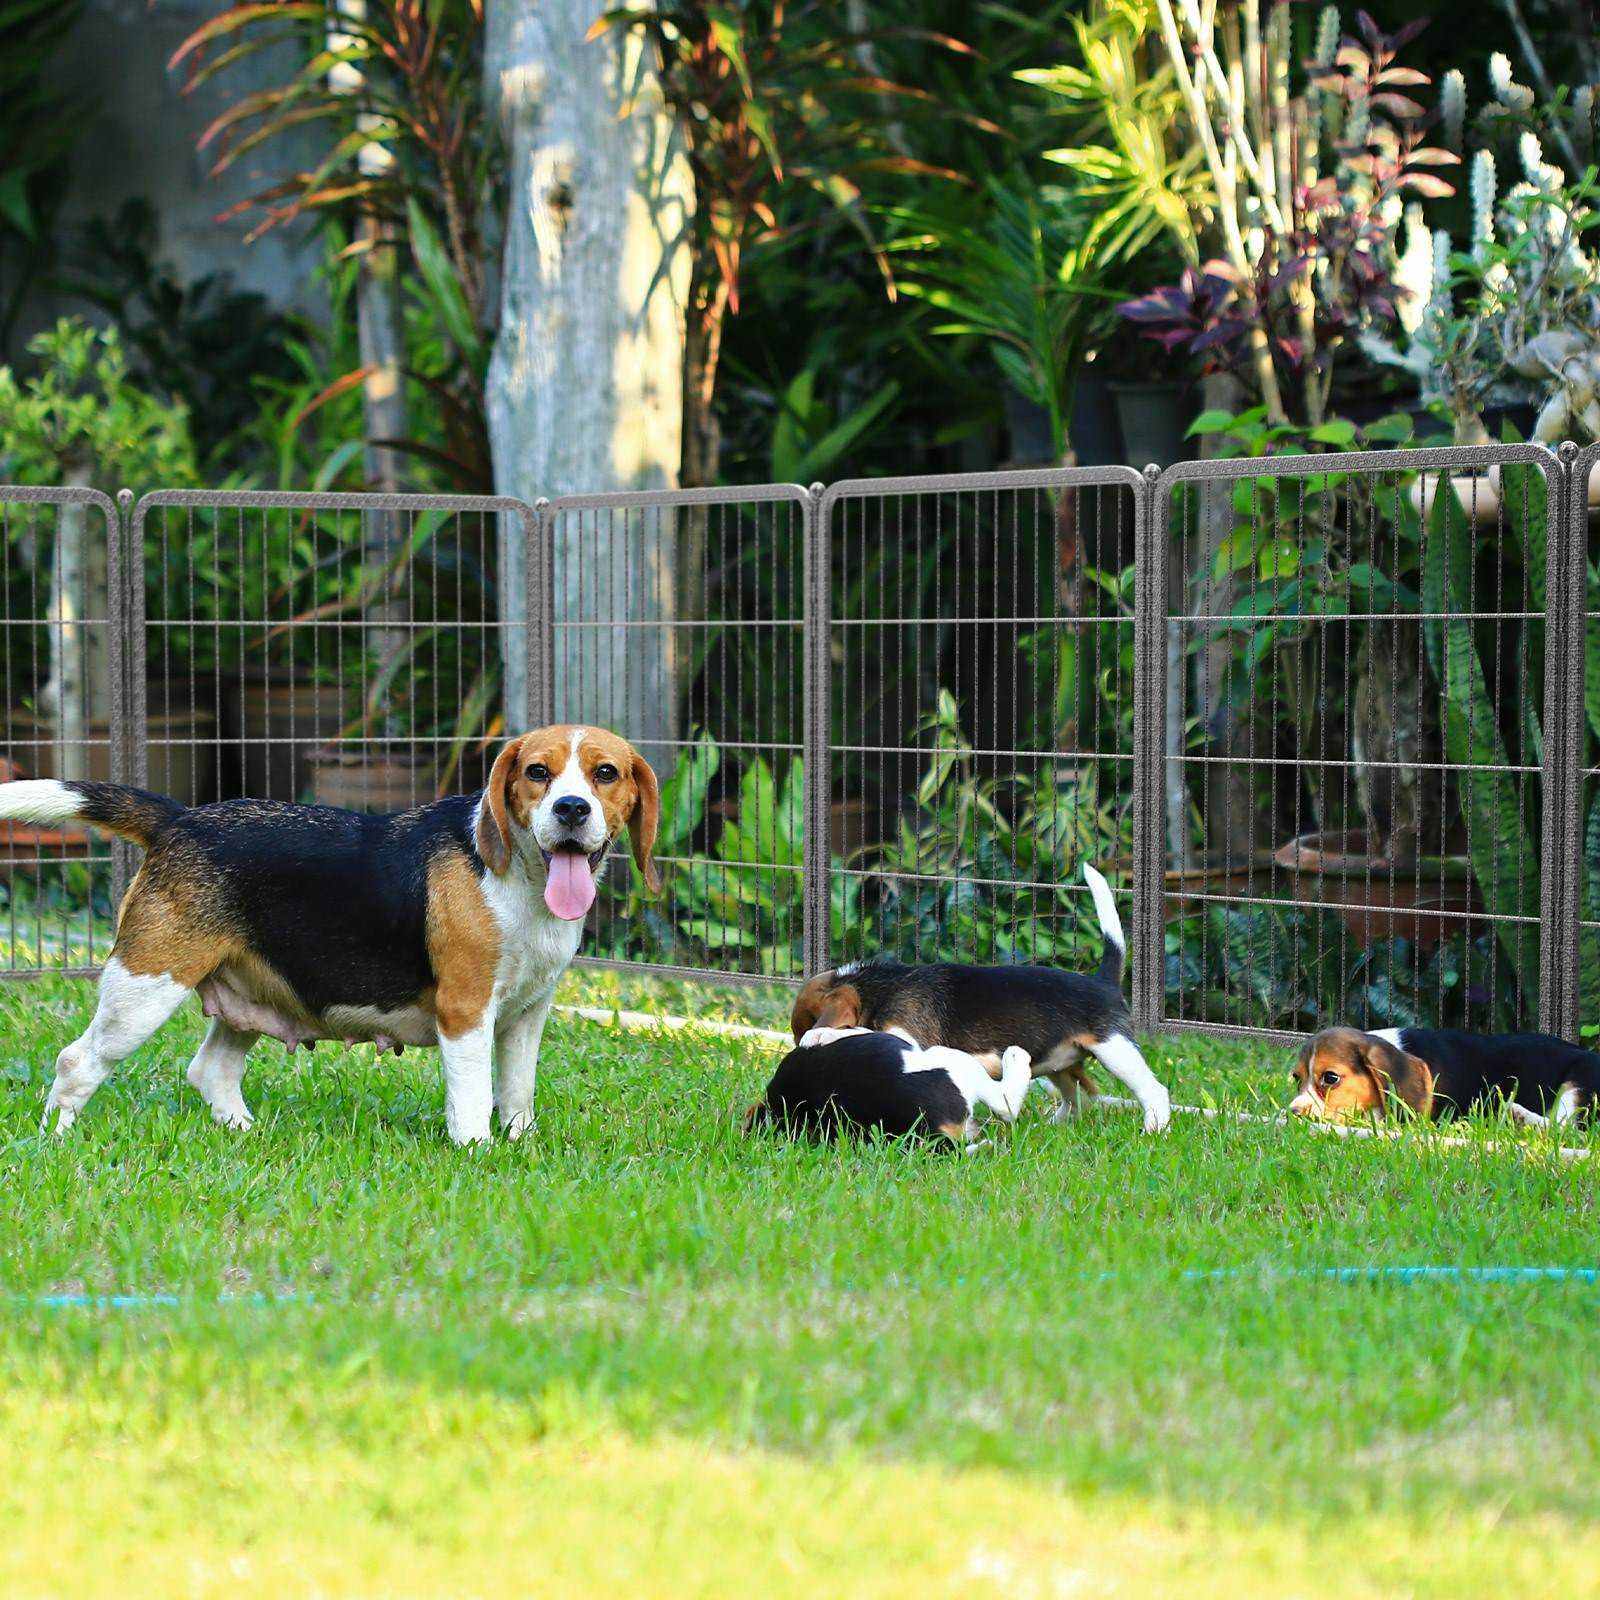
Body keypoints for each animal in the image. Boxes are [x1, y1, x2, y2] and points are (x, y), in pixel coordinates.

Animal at [0, 732, 656, 1145]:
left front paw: (521, 1143)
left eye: (606, 773)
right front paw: (478, 1153)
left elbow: (517, 1092)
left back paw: (246, 1134)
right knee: (76, 1062)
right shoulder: (466, 1010)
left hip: (245, 995)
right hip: (143, 989)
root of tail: (181, 818)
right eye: (536, 773)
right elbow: (472, 1097)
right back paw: (57, 1142)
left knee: (210, 1069)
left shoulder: (526, 1015)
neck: (519, 875)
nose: (571, 809)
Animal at [790, 864, 1177, 1139]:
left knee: (1153, 1089)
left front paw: (821, 1035)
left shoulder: (909, 1036)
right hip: (1061, 1064)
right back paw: (1055, 1124)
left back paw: (1154, 1128)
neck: (880, 988)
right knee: (1080, 1097)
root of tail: (1103, 981)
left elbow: (854, 1031)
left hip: (1114, 1048)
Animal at [1286, 1024, 1600, 1126]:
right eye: (1296, 1078)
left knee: (1564, 1129)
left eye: (1330, 1078)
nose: (1293, 1113)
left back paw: (1518, 1115)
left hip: (1579, 1082)